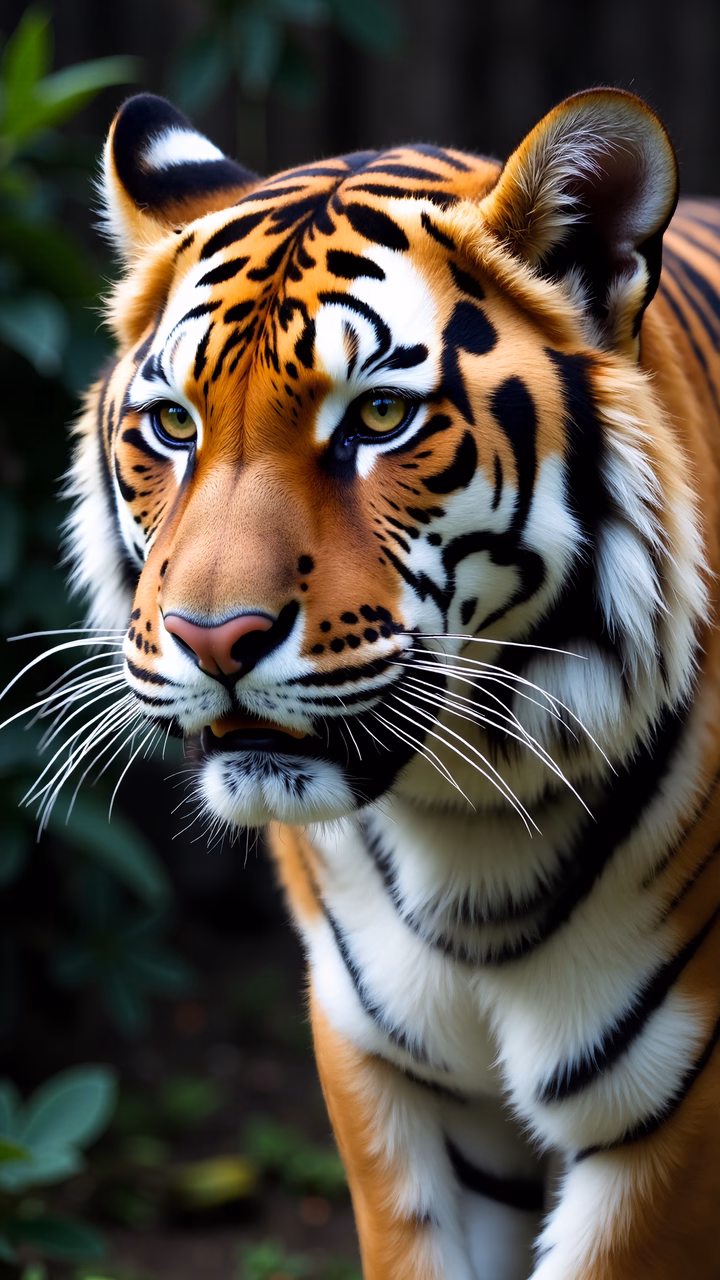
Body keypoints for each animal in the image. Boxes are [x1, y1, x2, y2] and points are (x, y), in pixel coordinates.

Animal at [57, 86, 720, 1277]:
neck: (467, 837)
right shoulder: (388, 1068)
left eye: (377, 418)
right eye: (174, 425)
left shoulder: (673, 1115)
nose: (212, 637)